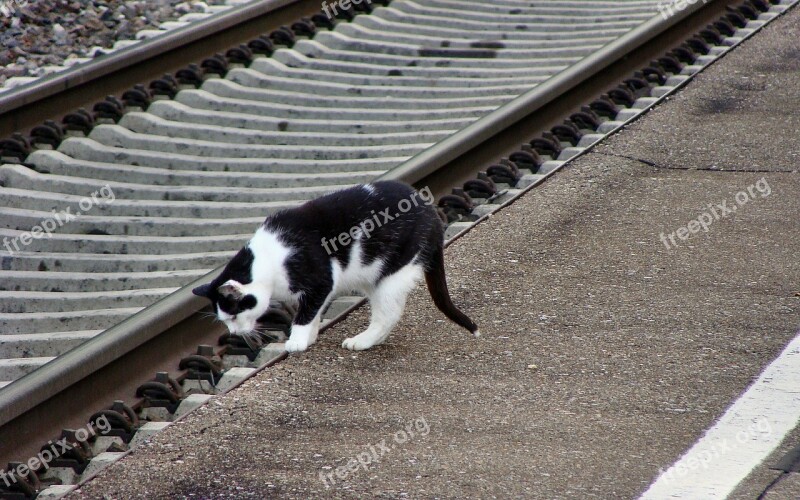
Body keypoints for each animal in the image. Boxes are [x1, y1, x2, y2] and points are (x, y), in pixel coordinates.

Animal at [192, 180, 482, 352]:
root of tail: (431, 212)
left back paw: (363, 341)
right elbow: (314, 312)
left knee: (388, 314)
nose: (234, 333)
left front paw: (296, 341)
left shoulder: (321, 280)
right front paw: (309, 336)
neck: (268, 259)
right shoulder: (323, 289)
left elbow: (305, 313)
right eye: (225, 321)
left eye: (232, 317)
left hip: (392, 274)